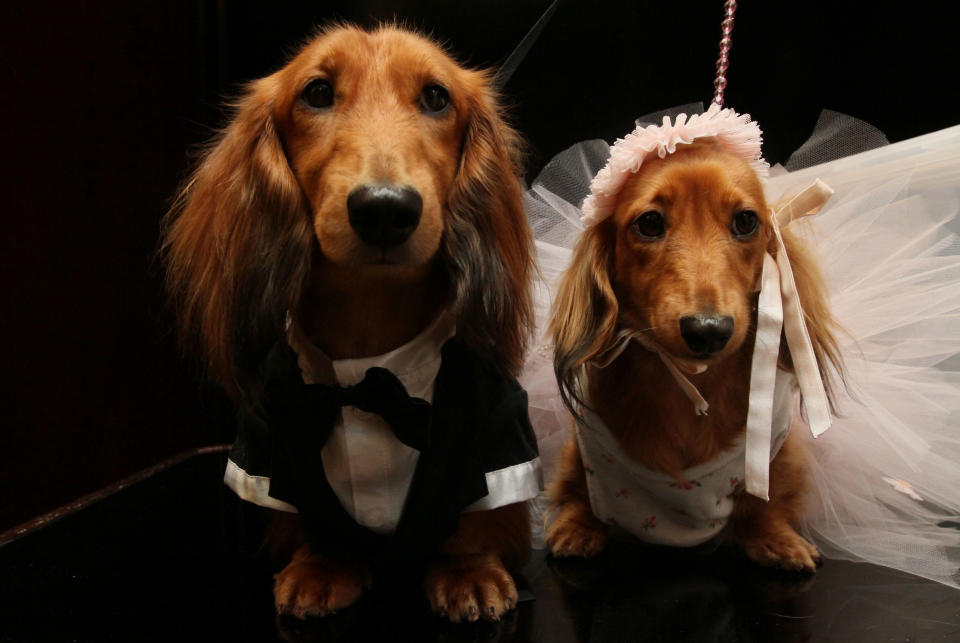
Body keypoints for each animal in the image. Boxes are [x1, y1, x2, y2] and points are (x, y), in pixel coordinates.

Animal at [162, 26, 536, 624]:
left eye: (437, 97)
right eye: (316, 92)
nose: (385, 209)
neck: (368, 362)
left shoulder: (496, 425)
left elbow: (475, 513)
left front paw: (468, 572)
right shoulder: (266, 443)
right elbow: (310, 516)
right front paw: (323, 566)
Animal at [544, 141, 844, 572]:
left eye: (746, 221)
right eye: (650, 223)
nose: (708, 330)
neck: (690, 380)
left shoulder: (776, 448)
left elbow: (765, 503)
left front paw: (776, 539)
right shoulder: (586, 450)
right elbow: (578, 494)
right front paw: (577, 526)